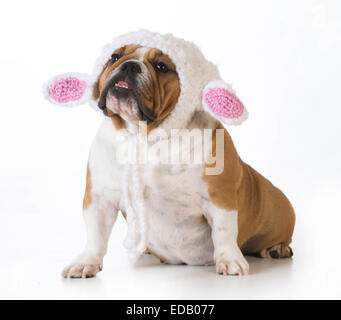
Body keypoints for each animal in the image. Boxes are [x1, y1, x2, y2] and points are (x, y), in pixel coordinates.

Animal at [44, 31, 294, 278]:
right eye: (115, 57)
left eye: (161, 66)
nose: (129, 65)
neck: (143, 135)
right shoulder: (100, 198)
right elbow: (95, 235)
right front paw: (85, 262)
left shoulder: (219, 196)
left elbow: (224, 231)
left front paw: (230, 260)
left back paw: (277, 248)